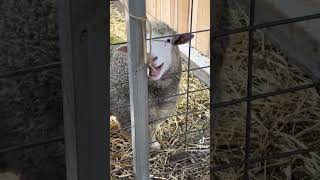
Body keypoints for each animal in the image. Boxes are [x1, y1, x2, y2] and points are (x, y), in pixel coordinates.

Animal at [110, 20, 195, 149]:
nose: (150, 56)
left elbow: (152, 130)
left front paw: (153, 144)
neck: (158, 93)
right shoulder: (126, 117)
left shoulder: (161, 113)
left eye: (168, 40)